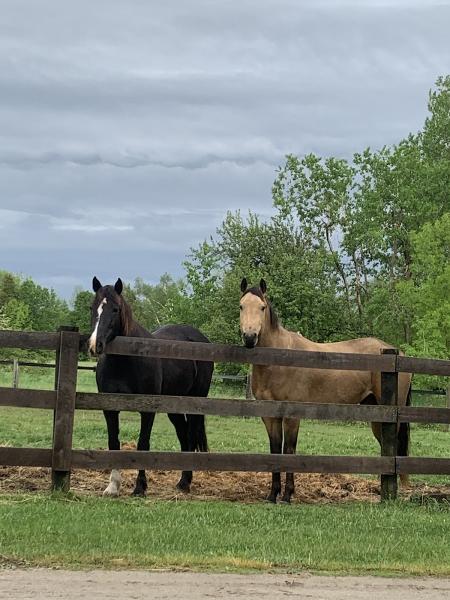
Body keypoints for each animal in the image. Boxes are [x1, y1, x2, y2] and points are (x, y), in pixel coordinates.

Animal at [89, 278, 214, 496]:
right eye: (92, 307)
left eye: (115, 309)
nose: (96, 345)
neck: (126, 360)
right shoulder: (110, 408)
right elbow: (113, 443)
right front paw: (112, 487)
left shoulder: (147, 410)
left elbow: (143, 444)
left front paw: (140, 486)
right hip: (173, 406)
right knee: (183, 435)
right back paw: (181, 481)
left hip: (195, 402)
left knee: (190, 436)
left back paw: (186, 482)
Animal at [239, 278, 412, 504]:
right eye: (241, 306)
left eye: (262, 307)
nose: (249, 337)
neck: (279, 359)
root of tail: (398, 353)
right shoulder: (269, 415)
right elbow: (275, 450)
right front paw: (272, 494)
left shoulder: (292, 415)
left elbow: (289, 450)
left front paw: (287, 495)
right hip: (376, 415)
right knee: (386, 447)